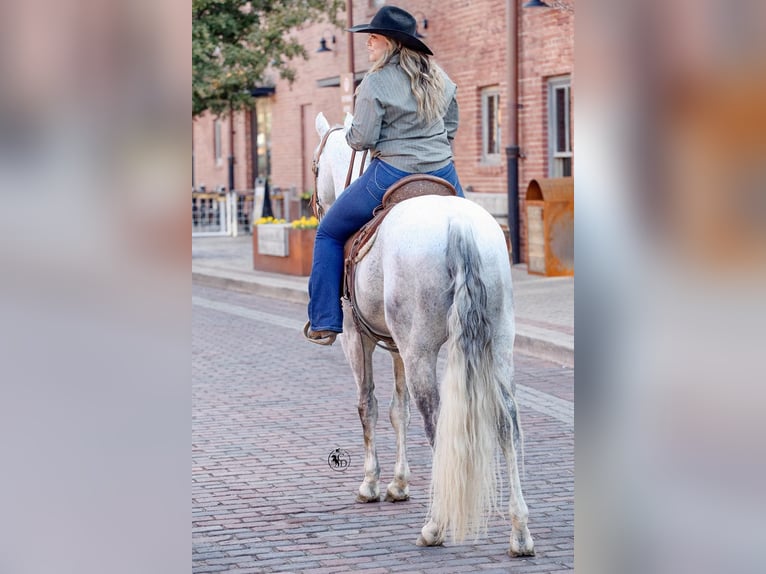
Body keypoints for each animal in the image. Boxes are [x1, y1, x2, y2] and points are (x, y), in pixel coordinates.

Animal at [316, 112, 536, 560]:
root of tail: (458, 226)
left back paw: (435, 525)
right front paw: (398, 484)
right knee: (507, 423)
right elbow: (396, 410)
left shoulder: (357, 339)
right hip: (498, 345)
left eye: (314, 166)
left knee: (435, 421)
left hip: (420, 351)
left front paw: (372, 483)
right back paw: (520, 532)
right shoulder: (396, 347)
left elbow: (369, 406)